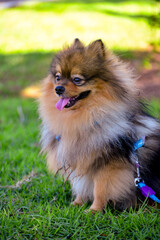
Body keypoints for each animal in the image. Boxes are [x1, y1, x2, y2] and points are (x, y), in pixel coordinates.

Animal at [39, 38, 160, 211]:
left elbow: (100, 189)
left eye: (77, 79)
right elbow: (80, 184)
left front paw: (93, 211)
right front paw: (76, 204)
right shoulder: (80, 159)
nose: (58, 89)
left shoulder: (109, 166)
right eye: (58, 77)